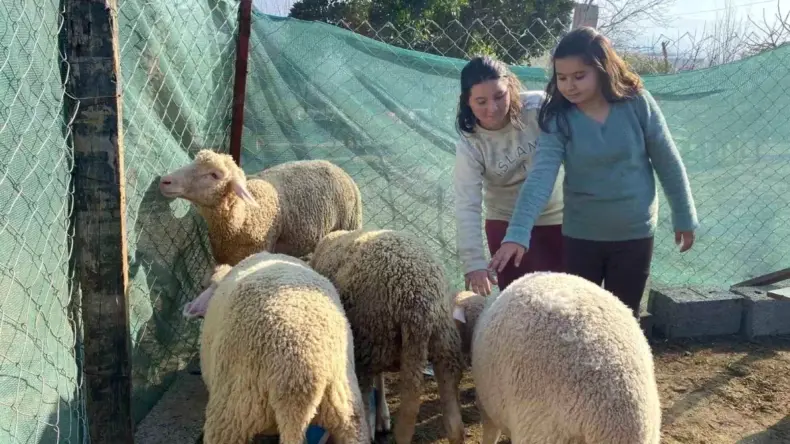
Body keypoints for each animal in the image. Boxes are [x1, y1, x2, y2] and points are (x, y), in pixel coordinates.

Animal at [310, 229, 468, 444]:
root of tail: (419, 301)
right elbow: (381, 378)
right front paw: (383, 418)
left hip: (370, 339)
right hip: (443, 344)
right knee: (454, 420)